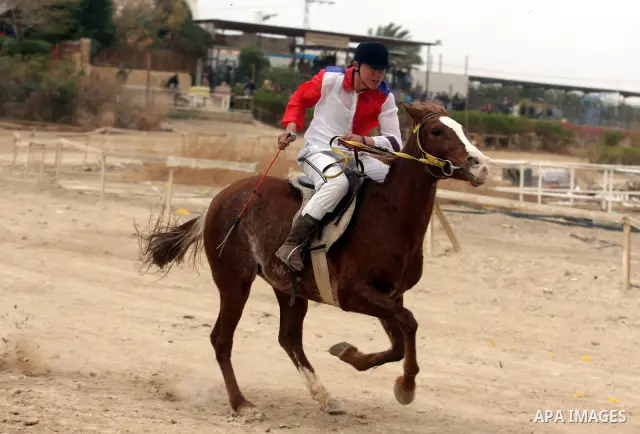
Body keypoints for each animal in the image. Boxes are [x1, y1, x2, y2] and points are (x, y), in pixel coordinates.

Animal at [137, 101, 490, 418]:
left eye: (461, 128)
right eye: (437, 130)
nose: (481, 164)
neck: (389, 214)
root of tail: (217, 201)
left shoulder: (390, 296)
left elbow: (400, 340)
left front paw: (351, 354)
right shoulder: (353, 294)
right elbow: (409, 323)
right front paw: (406, 386)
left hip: (286, 287)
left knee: (289, 339)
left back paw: (324, 396)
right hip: (235, 281)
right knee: (222, 339)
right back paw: (242, 404)